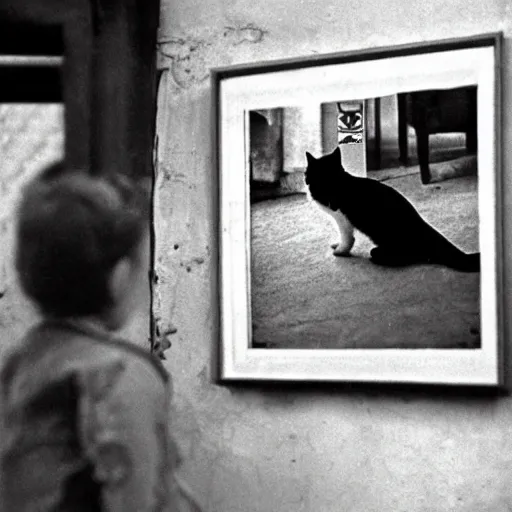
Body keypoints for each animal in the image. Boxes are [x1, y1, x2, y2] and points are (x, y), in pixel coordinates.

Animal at [308, 146, 480, 272]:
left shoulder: (342, 219)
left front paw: (340, 251)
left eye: (330, 180)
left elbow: (347, 238)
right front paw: (337, 245)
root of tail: (423, 226)